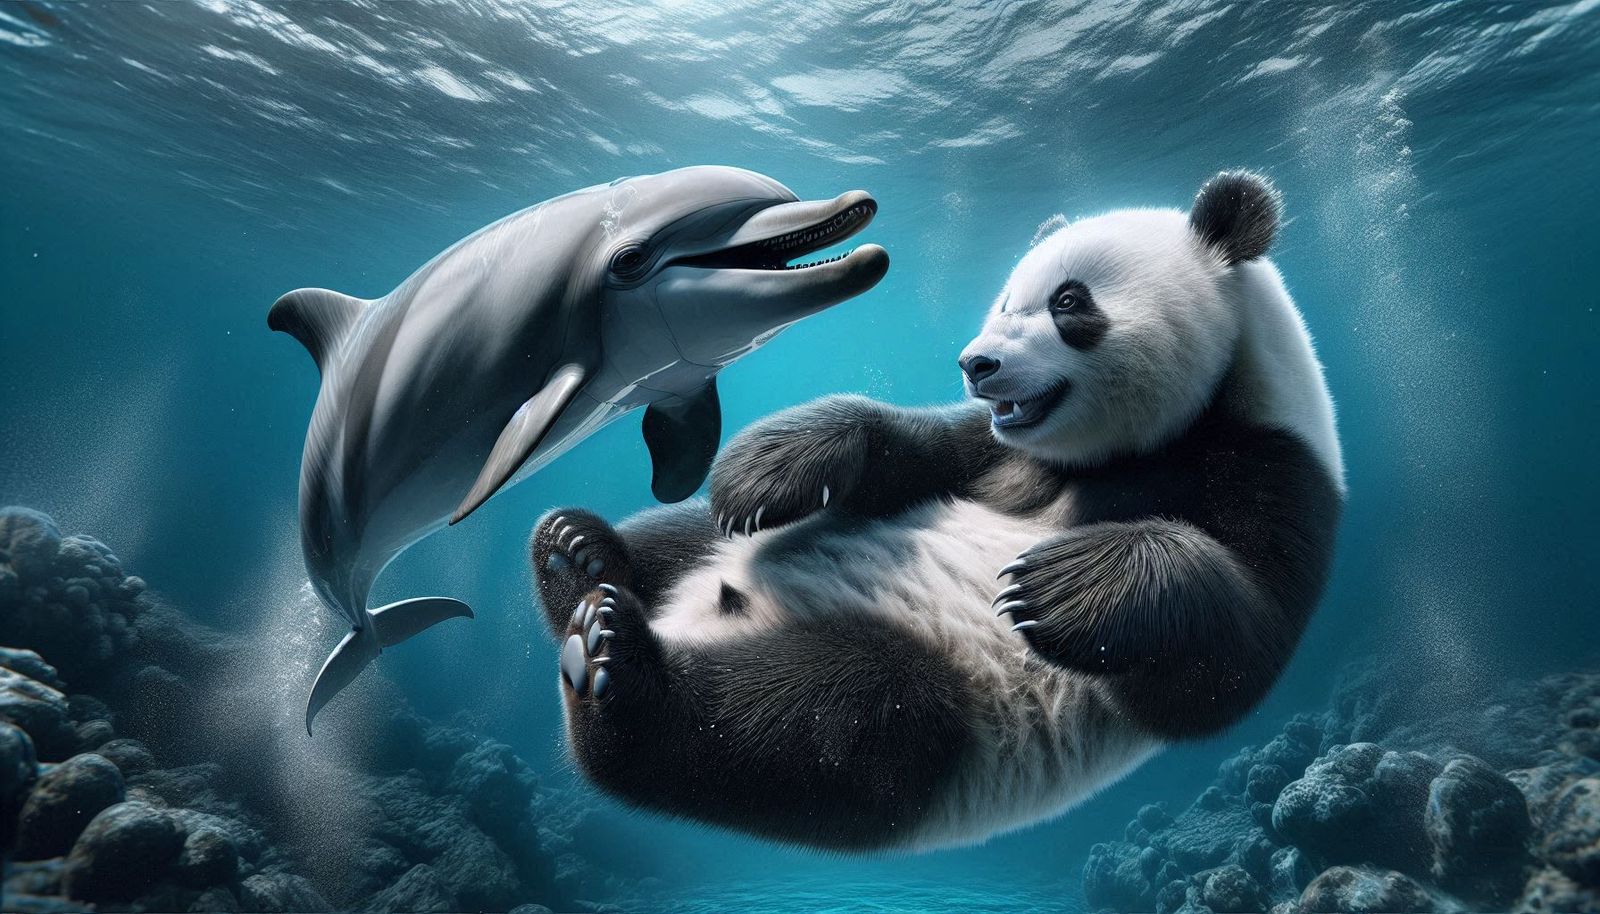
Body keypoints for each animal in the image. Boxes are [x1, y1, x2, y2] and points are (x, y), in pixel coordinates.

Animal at [529, 171, 1344, 852]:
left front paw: (1061, 586)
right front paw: (767, 469)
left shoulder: (1277, 468)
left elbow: (1228, 655)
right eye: (1006, 301)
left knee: (815, 720)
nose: (977, 364)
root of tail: (699, 615)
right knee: (679, 540)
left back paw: (614, 665)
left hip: (944, 706)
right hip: (712, 554)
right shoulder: (995, 455)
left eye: (1069, 302)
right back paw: (576, 555)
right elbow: (907, 450)